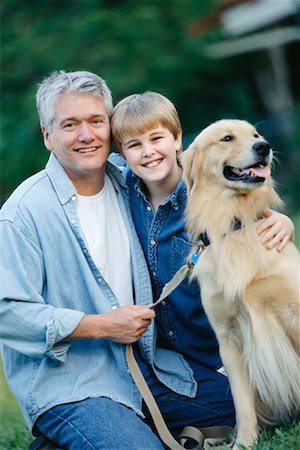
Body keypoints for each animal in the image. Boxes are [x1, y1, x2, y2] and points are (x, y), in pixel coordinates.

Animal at [182, 118, 298, 446]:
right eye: (226, 138)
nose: (264, 147)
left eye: (256, 134)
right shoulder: (228, 336)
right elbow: (241, 400)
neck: (235, 221)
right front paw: (245, 442)